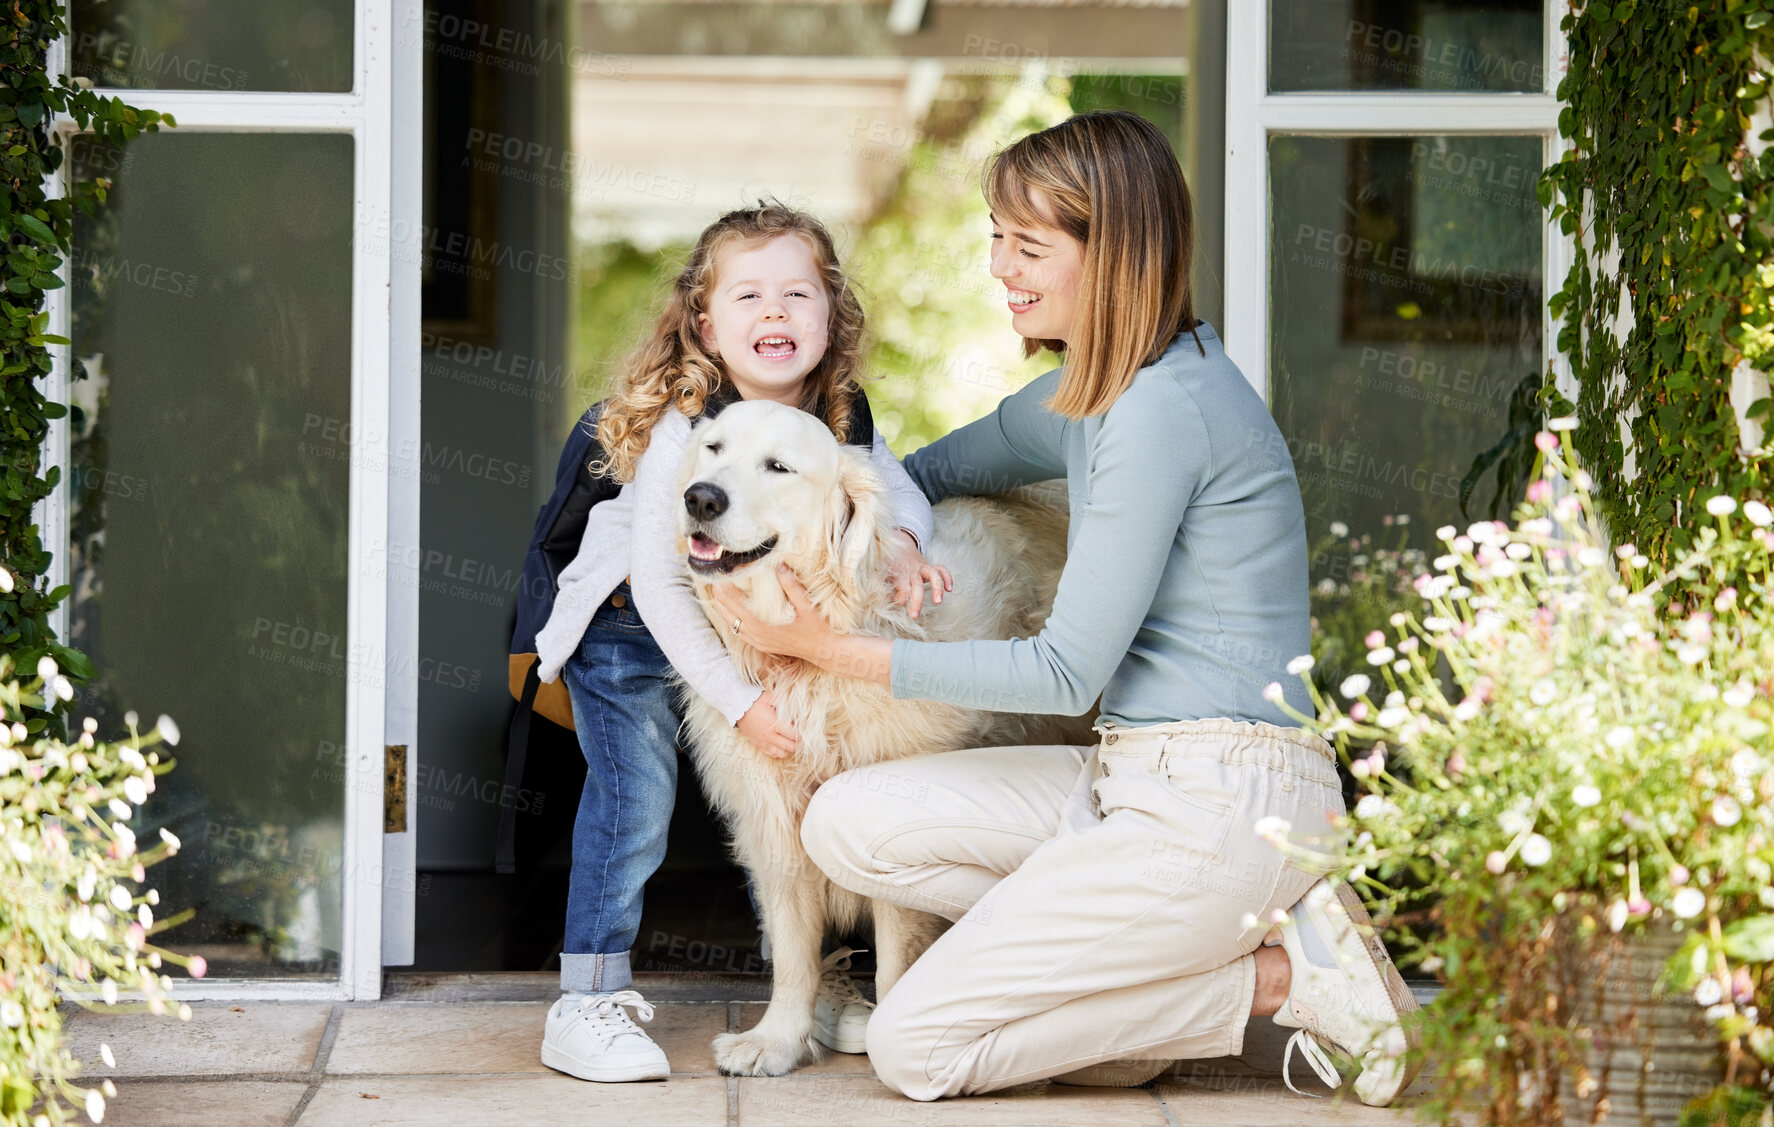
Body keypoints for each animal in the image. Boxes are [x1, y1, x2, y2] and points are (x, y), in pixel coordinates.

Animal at [667, 397, 1085, 1079]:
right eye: (713, 449)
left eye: (778, 467)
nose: (700, 498)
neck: (812, 659)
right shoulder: (773, 817)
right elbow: (793, 950)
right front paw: (777, 1040)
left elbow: (894, 950)